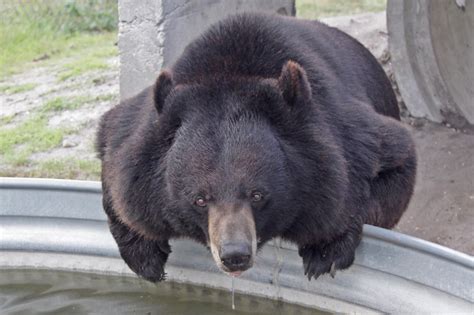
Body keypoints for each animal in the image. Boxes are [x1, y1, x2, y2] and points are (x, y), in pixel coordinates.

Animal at [96, 12, 414, 284]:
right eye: (199, 199)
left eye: (258, 194)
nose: (234, 256)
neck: (228, 70)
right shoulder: (136, 132)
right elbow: (118, 169)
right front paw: (144, 256)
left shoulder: (346, 132)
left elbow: (391, 164)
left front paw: (326, 251)